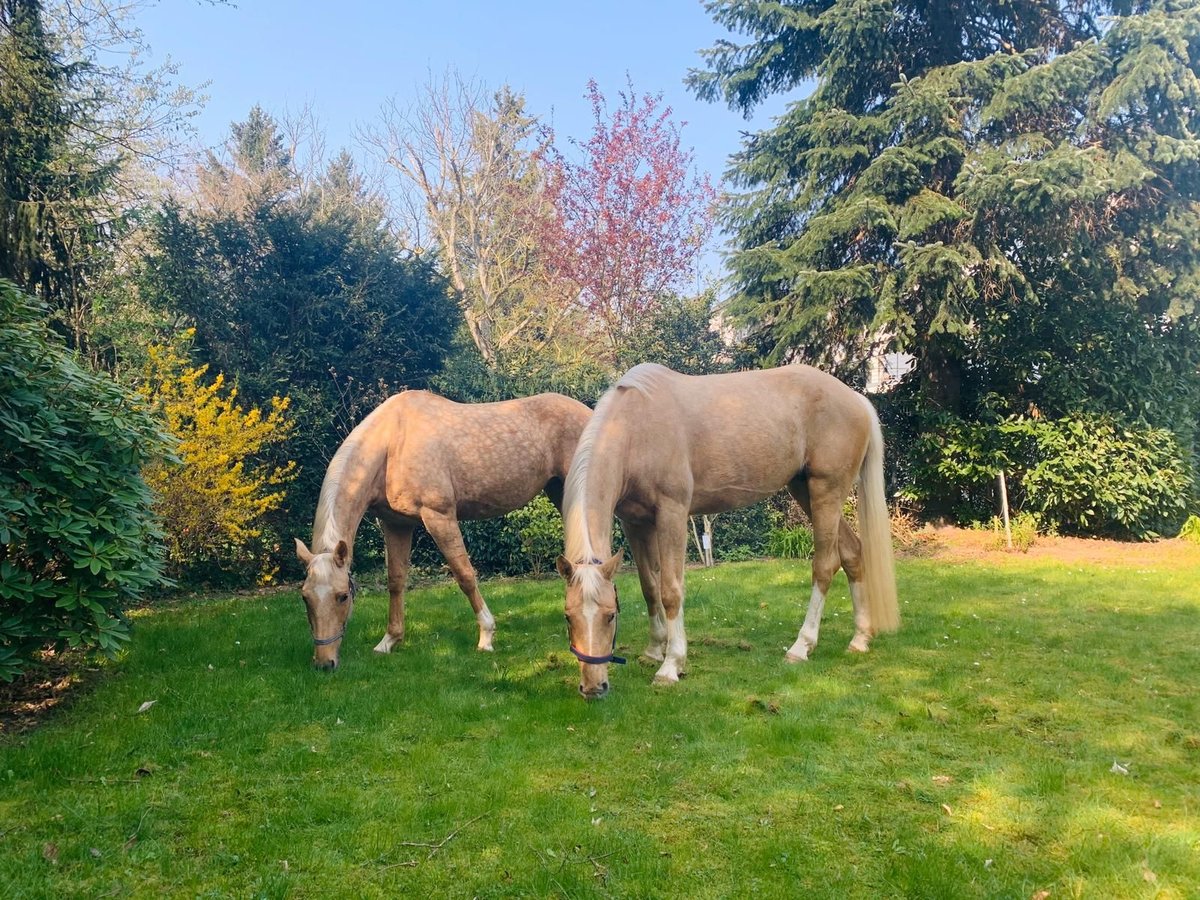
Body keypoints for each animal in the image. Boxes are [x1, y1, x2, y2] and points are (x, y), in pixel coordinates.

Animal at [295, 391, 585, 672]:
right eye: (305, 598)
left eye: (342, 596)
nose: (324, 663)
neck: (393, 443)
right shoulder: (397, 523)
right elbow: (396, 580)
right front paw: (389, 641)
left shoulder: (439, 516)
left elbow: (465, 575)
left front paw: (486, 636)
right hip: (558, 491)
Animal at [556, 362, 897, 700]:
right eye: (568, 616)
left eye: (610, 616)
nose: (593, 687)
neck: (635, 428)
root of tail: (856, 400)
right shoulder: (636, 523)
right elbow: (649, 587)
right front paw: (654, 651)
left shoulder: (672, 515)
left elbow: (670, 591)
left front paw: (671, 665)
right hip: (806, 490)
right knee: (852, 552)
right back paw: (860, 639)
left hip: (826, 491)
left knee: (825, 566)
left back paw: (801, 647)